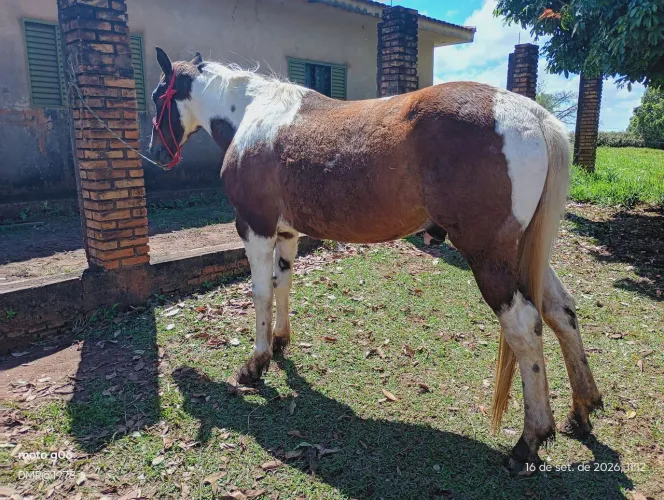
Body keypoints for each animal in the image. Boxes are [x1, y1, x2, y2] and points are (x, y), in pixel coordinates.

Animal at [148, 48, 602, 474]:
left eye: (157, 95)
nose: (154, 154)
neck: (253, 116)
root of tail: (531, 114)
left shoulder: (254, 227)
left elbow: (260, 294)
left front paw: (255, 363)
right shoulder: (287, 233)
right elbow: (283, 284)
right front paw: (279, 342)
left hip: (490, 256)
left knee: (524, 327)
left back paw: (530, 439)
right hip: (523, 251)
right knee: (561, 310)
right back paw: (582, 408)